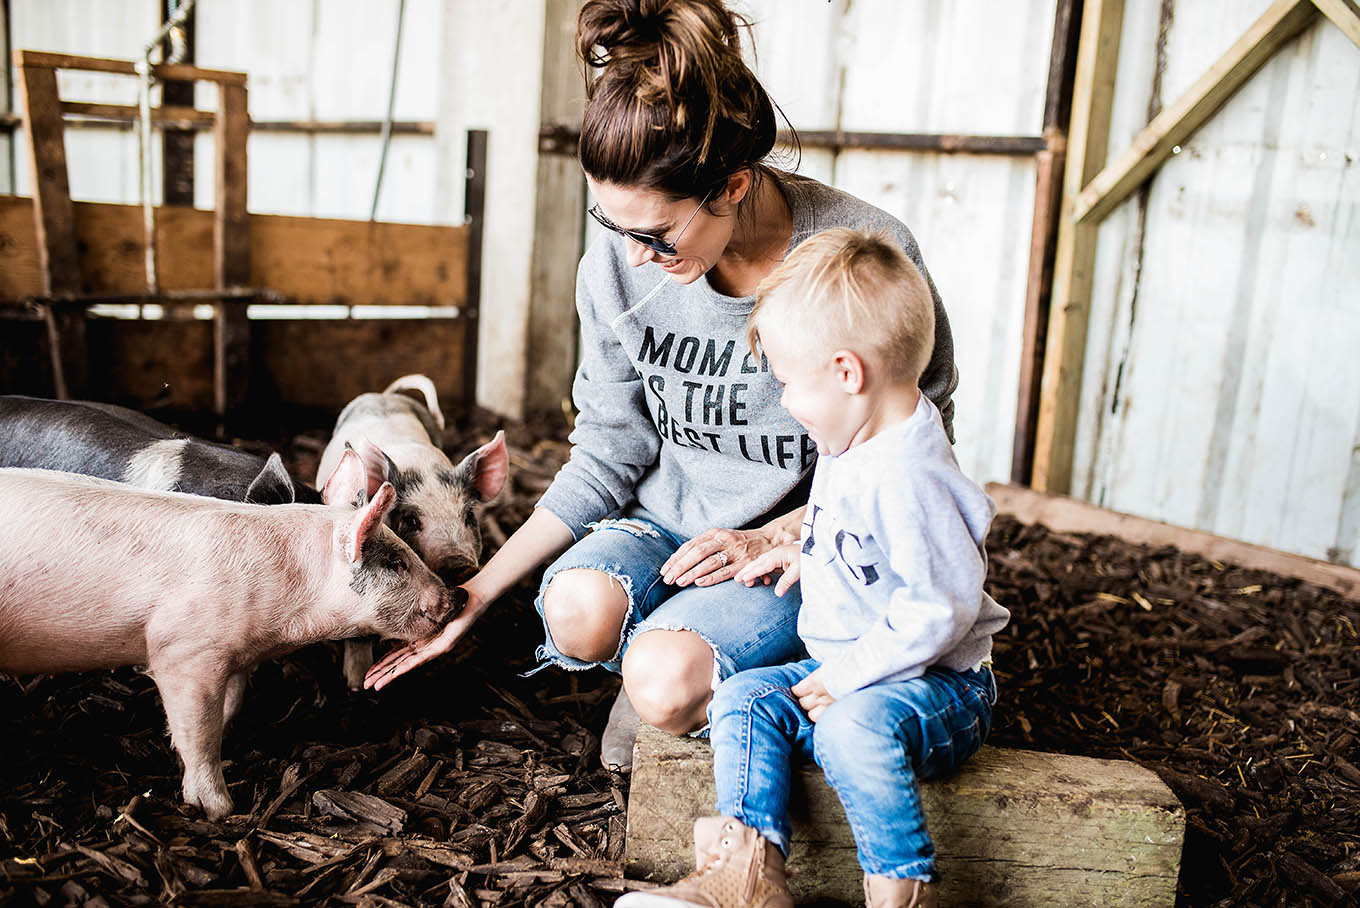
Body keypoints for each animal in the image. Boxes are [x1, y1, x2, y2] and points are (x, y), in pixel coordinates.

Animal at [0, 451, 456, 821]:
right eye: (396, 563)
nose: (456, 598)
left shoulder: (237, 655)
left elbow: (230, 704)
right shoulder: (183, 653)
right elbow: (198, 731)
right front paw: (219, 810)